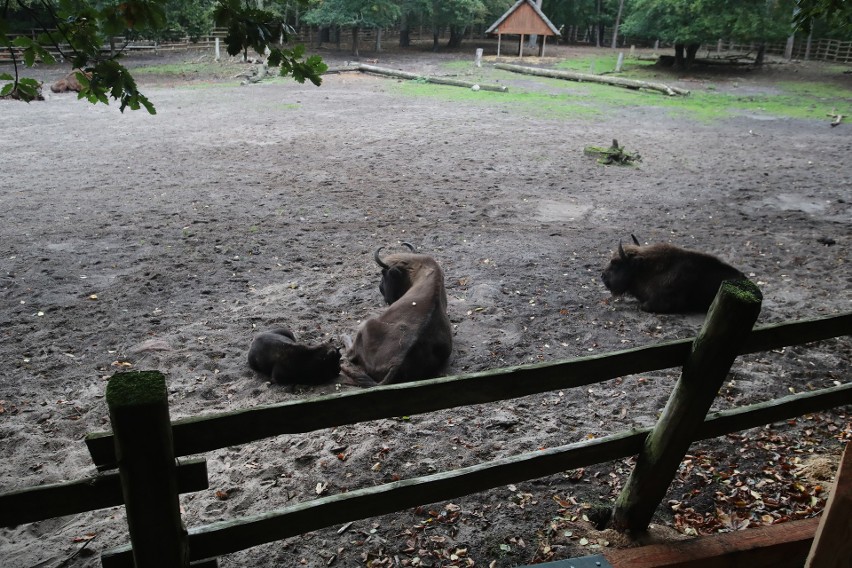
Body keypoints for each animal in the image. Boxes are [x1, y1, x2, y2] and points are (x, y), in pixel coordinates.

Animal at [342, 243, 456, 386]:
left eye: (384, 274)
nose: (381, 289)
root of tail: (396, 363)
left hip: (368, 325)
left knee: (350, 353)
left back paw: (343, 336)